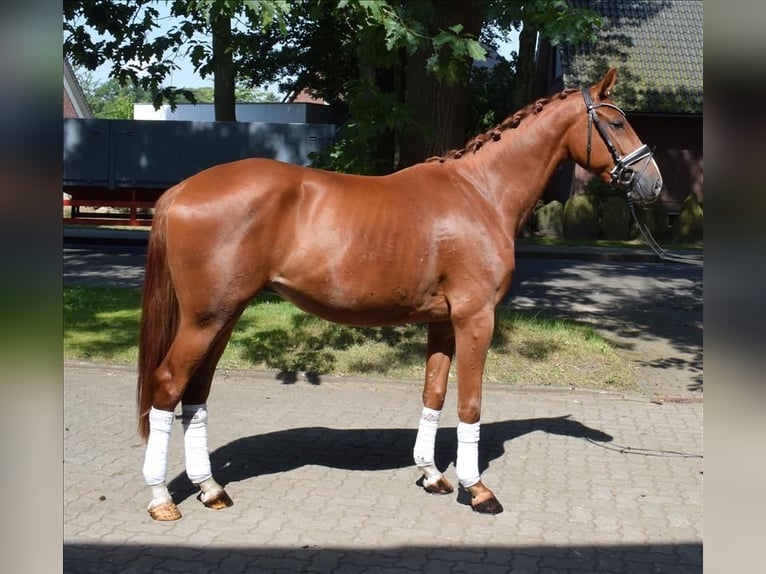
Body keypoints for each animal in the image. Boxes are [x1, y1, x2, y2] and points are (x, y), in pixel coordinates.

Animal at [136, 68, 660, 520]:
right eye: (616, 121)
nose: (653, 182)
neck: (480, 193)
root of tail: (180, 191)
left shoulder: (442, 321)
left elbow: (434, 393)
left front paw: (432, 475)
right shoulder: (475, 318)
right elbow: (470, 403)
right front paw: (477, 489)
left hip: (221, 317)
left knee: (195, 394)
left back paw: (210, 489)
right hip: (205, 320)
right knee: (167, 385)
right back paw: (162, 498)